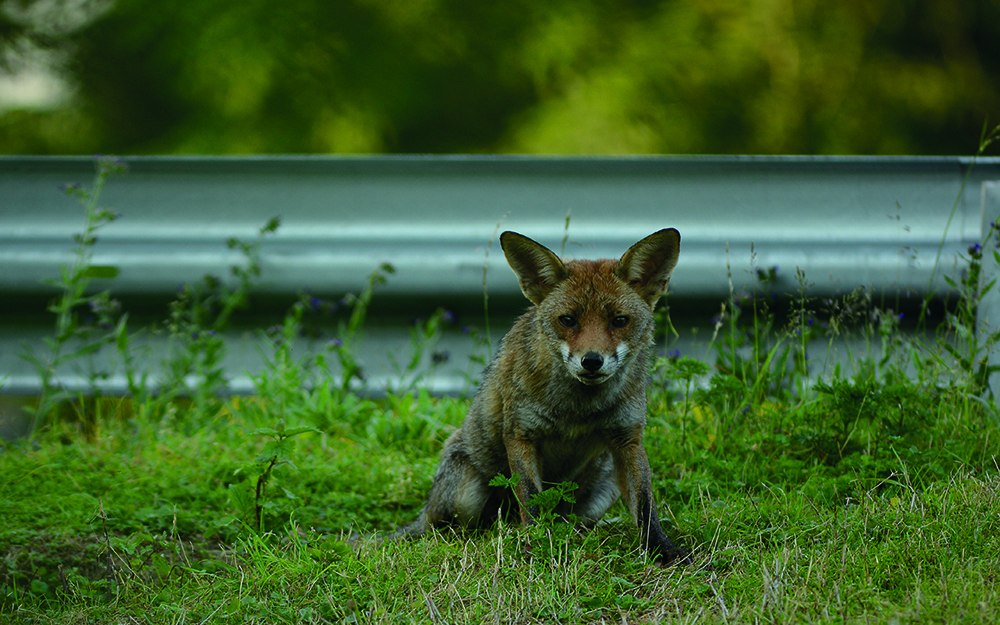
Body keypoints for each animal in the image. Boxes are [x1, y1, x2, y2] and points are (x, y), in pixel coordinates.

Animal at [394, 229, 692, 564]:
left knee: (572, 520)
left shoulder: (627, 438)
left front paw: (661, 548)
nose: (592, 361)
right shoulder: (520, 434)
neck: (579, 409)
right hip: (466, 496)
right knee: (456, 529)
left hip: (601, 491)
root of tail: (426, 510)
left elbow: (645, 505)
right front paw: (535, 547)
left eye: (619, 320)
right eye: (567, 320)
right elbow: (531, 500)